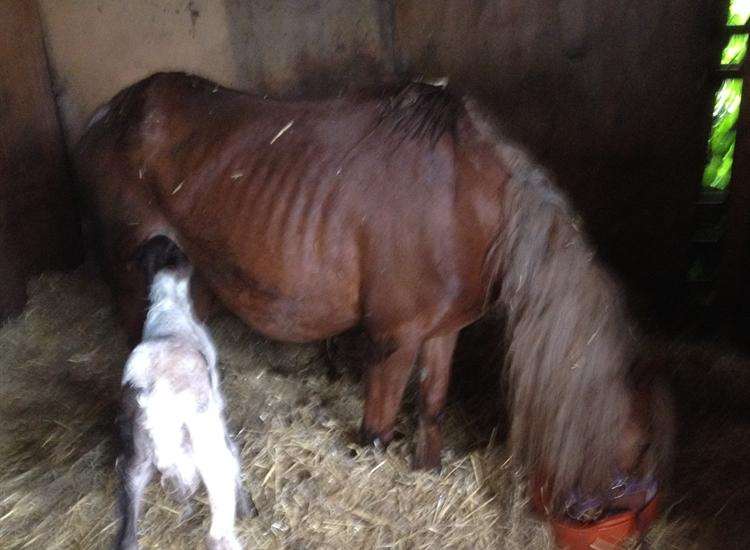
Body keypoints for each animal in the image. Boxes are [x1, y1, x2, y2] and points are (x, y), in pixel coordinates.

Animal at [76, 72, 676, 512]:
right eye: (644, 445)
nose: (632, 510)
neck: (466, 202)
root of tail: (111, 113)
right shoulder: (394, 340)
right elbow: (375, 433)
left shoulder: (444, 331)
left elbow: (432, 407)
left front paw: (427, 472)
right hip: (133, 283)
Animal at [116, 237, 258, 550]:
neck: (168, 304)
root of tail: (159, 398)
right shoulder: (216, 397)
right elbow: (234, 449)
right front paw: (247, 505)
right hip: (209, 451)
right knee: (219, 531)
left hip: (140, 453)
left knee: (131, 510)